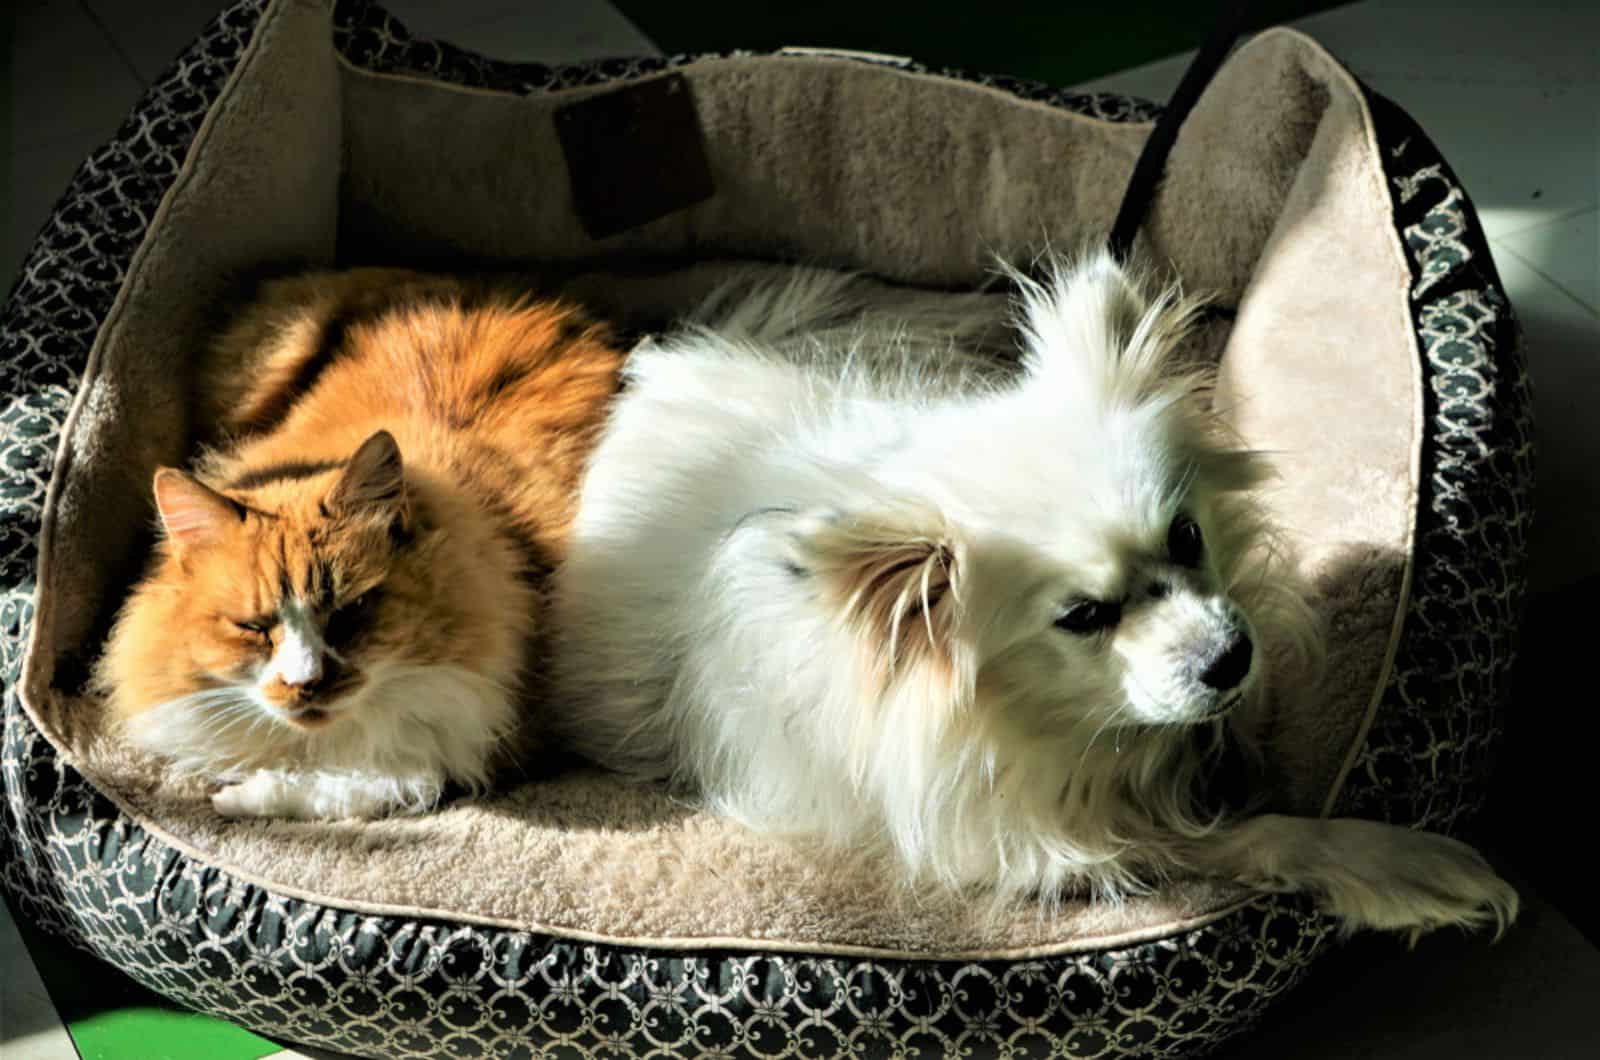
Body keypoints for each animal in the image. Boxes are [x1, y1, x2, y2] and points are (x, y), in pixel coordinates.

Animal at [556, 252, 1516, 941]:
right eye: (1084, 618)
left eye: (1187, 537)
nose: (1228, 657)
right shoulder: (1039, 839)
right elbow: (1244, 835)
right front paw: (1402, 867)